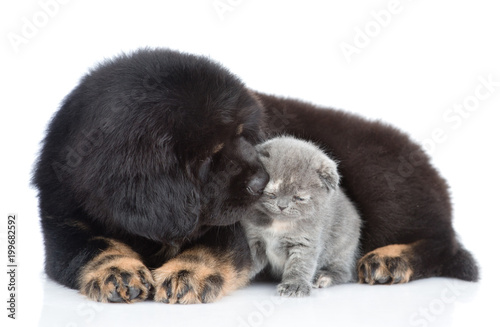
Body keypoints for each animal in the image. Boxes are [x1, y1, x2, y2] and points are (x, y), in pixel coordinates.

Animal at [241, 136, 362, 298]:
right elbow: (247, 262)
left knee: (345, 272)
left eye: (299, 198)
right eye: (270, 193)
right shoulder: (254, 238)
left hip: (342, 247)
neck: (279, 225)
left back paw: (324, 276)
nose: (282, 206)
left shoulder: (306, 242)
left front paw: (294, 285)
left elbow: (300, 265)